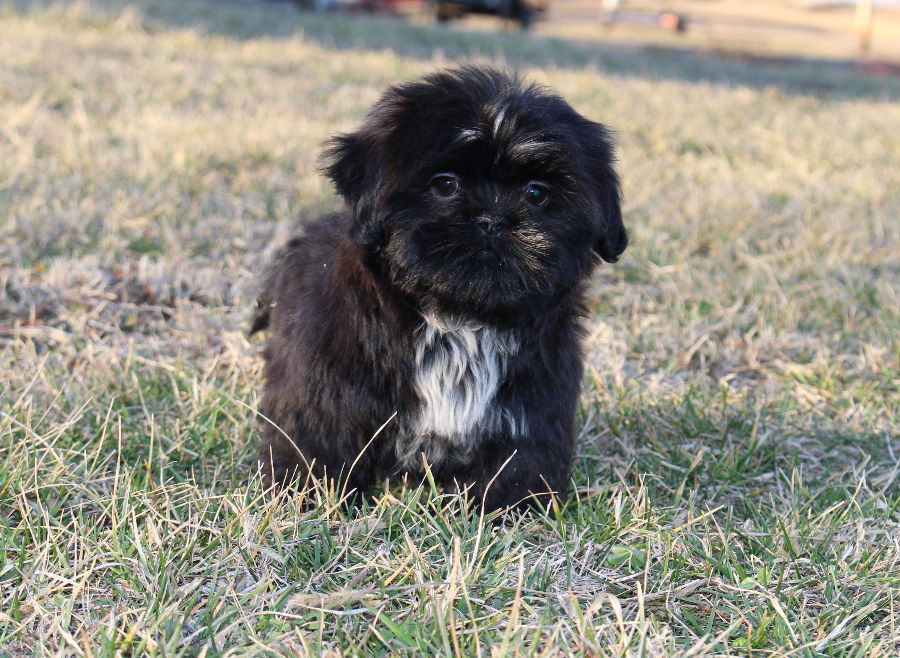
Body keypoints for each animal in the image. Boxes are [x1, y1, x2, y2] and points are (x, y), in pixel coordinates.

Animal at [251, 65, 626, 511]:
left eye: (537, 193)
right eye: (445, 185)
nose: (492, 220)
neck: (460, 318)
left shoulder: (533, 397)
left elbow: (518, 459)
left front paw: (508, 509)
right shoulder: (325, 383)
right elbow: (317, 437)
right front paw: (306, 497)